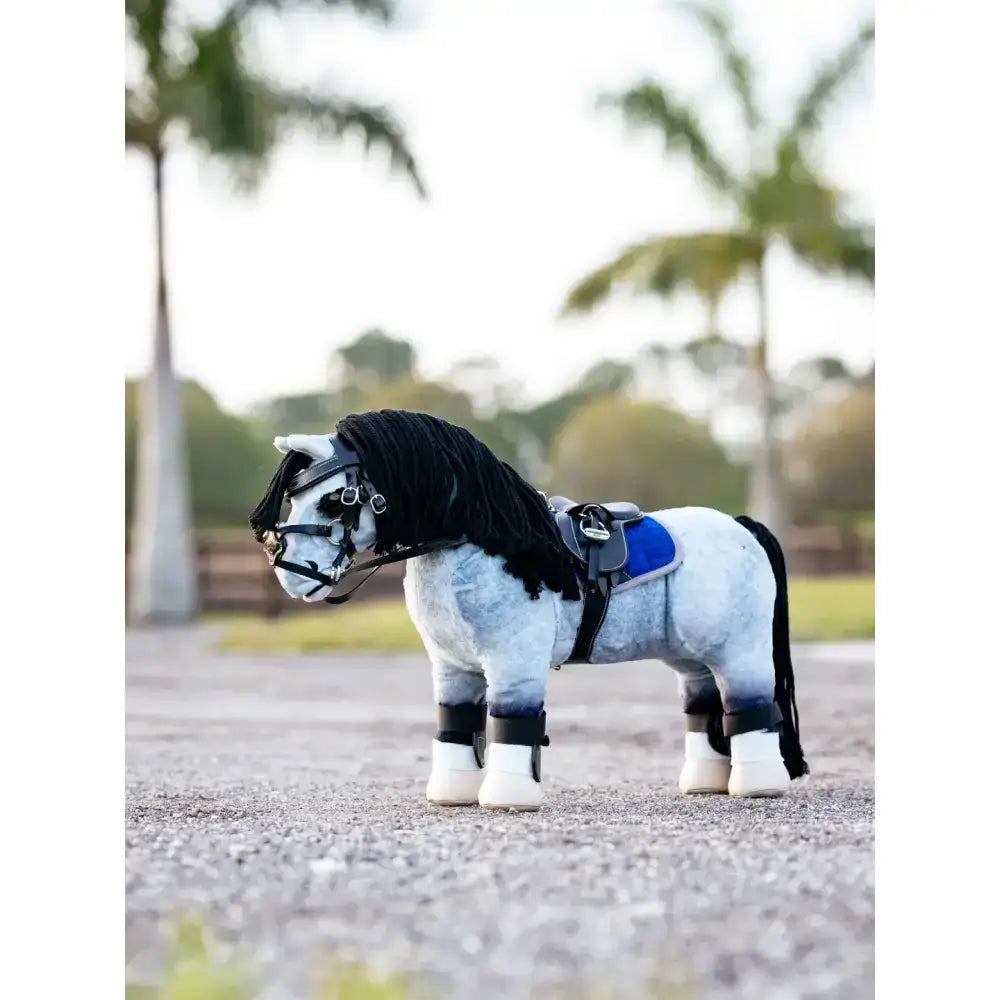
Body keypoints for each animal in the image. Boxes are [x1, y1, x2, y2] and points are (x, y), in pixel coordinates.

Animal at [249, 409, 807, 812]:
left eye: (335, 501)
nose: (290, 572)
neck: (486, 539)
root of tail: (741, 526)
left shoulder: (513, 663)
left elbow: (510, 722)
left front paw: (506, 798)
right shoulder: (452, 668)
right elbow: (456, 723)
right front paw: (454, 793)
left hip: (741, 650)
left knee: (750, 707)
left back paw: (757, 784)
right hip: (692, 656)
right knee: (704, 705)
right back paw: (705, 784)